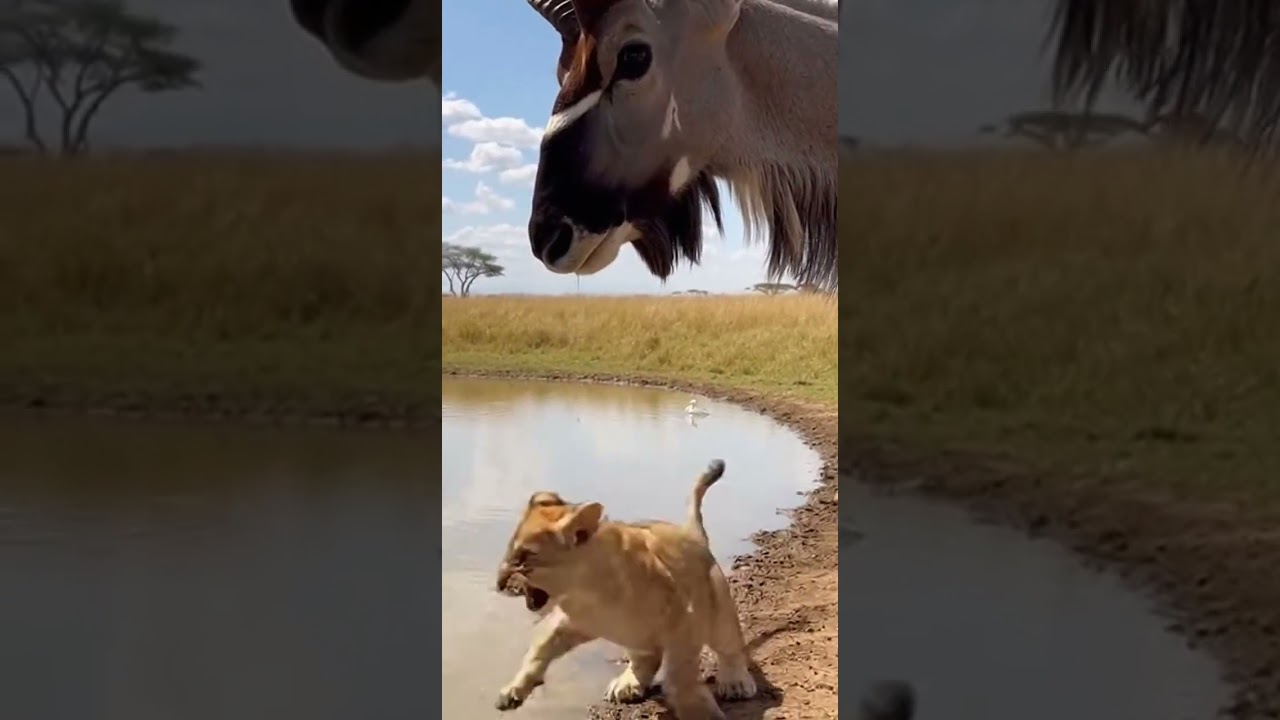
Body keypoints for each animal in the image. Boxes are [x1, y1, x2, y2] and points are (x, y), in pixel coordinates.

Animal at [493, 459, 756, 720]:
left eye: (523, 558)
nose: (498, 584)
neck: (587, 592)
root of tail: (690, 533)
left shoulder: (683, 621)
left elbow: (680, 672)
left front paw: (699, 710)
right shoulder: (567, 622)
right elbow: (538, 650)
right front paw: (512, 691)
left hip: (718, 612)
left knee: (730, 648)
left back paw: (736, 682)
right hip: (635, 636)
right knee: (646, 658)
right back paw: (628, 684)